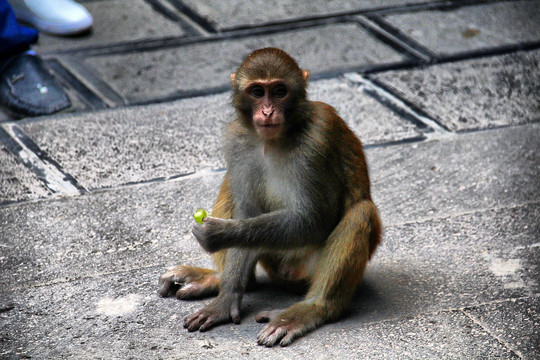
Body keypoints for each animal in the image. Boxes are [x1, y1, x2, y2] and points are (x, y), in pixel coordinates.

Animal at [158, 47, 382, 346]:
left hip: (307, 270)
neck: (275, 139)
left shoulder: (317, 140)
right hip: (273, 258)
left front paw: (221, 234)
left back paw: (312, 309)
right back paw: (219, 279)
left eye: (279, 91)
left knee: (361, 212)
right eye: (257, 92)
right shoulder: (238, 140)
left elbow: (315, 221)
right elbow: (247, 210)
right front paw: (226, 299)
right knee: (232, 187)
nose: (267, 111)